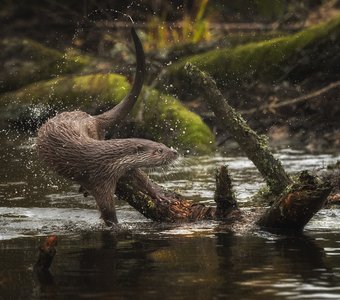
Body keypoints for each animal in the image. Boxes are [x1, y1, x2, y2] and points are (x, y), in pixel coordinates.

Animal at [37, 27, 178, 225]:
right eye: (159, 150)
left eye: (163, 145)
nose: (174, 152)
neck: (108, 161)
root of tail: (91, 117)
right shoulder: (100, 180)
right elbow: (108, 212)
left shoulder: (126, 169)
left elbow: (142, 178)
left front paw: (158, 194)